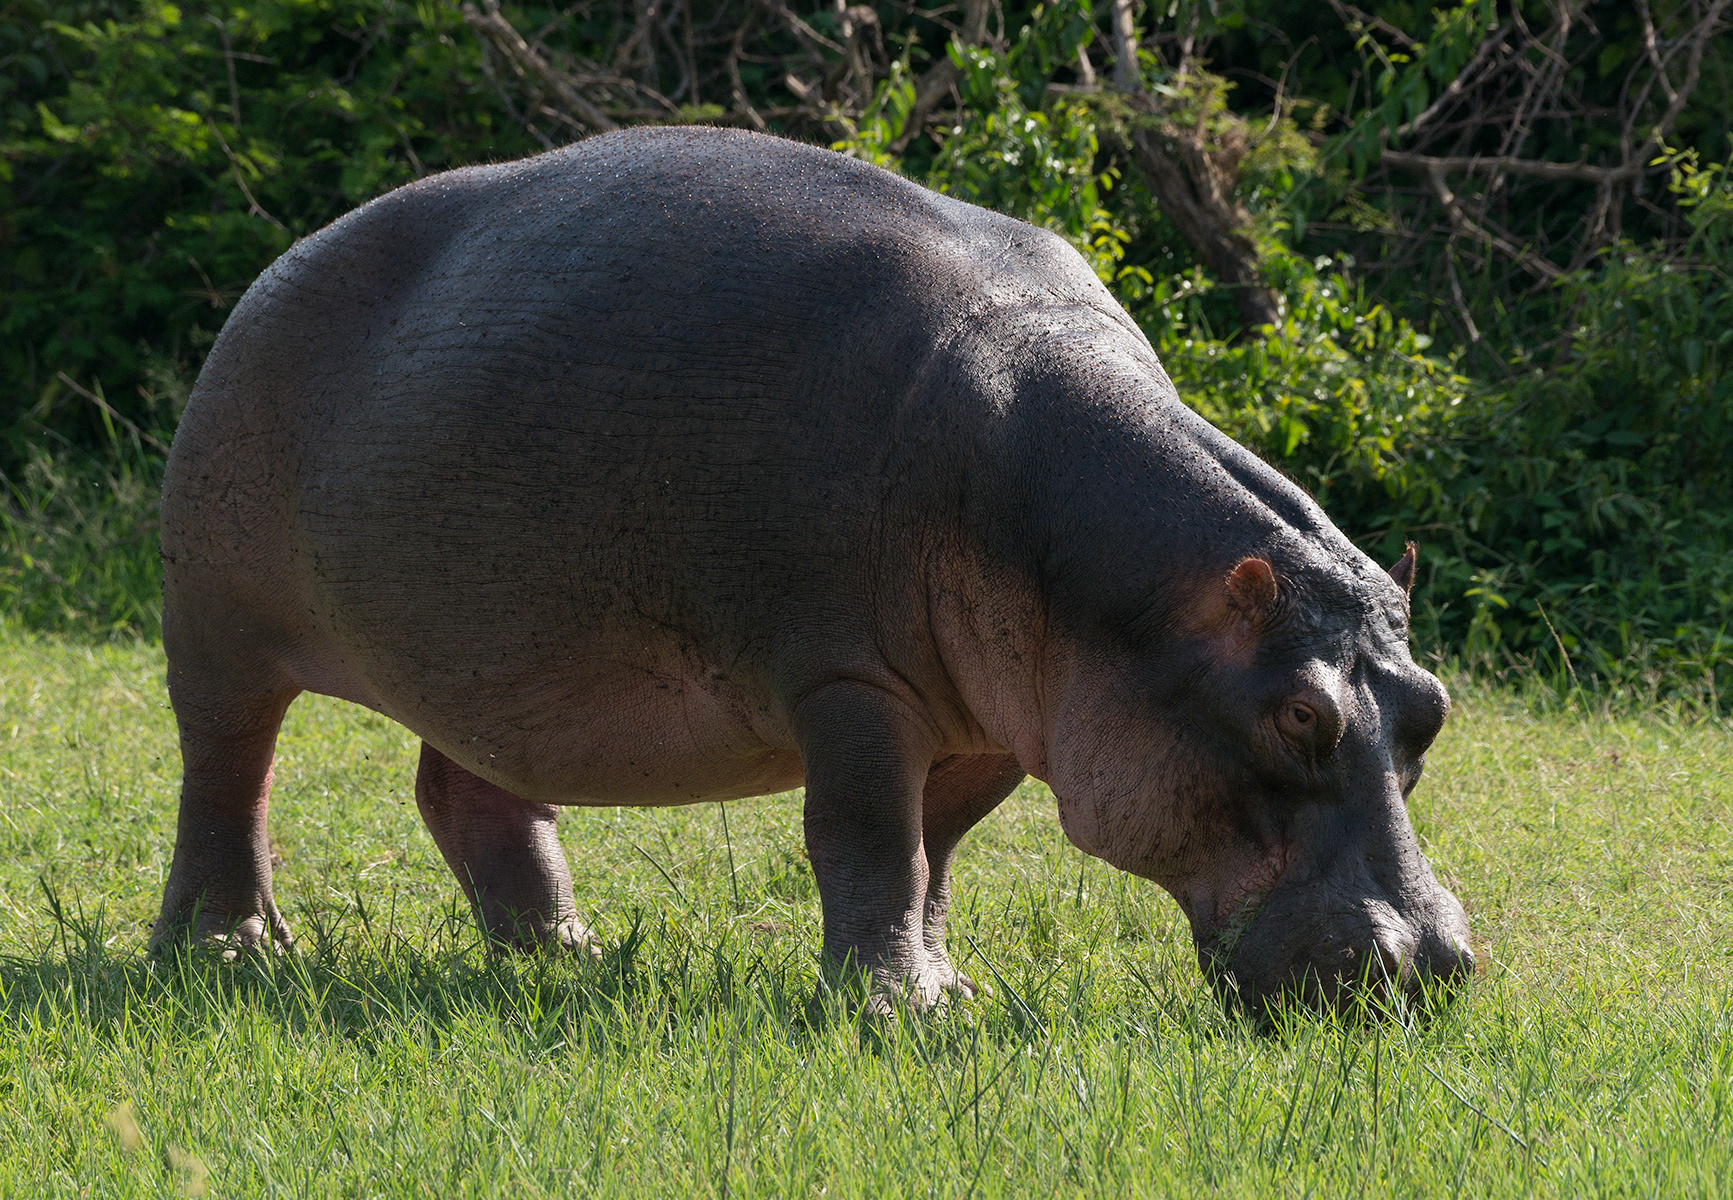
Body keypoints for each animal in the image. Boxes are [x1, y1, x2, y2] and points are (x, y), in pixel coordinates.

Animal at [152, 125, 1473, 1019]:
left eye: (1430, 710)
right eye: (1296, 715)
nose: (1429, 964)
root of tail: (281, 262)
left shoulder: (997, 718)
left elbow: (934, 855)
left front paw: (948, 985)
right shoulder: (847, 681)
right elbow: (869, 840)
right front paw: (892, 1012)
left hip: (492, 658)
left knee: (472, 793)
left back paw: (564, 957)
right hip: (216, 623)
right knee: (226, 777)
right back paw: (229, 954)